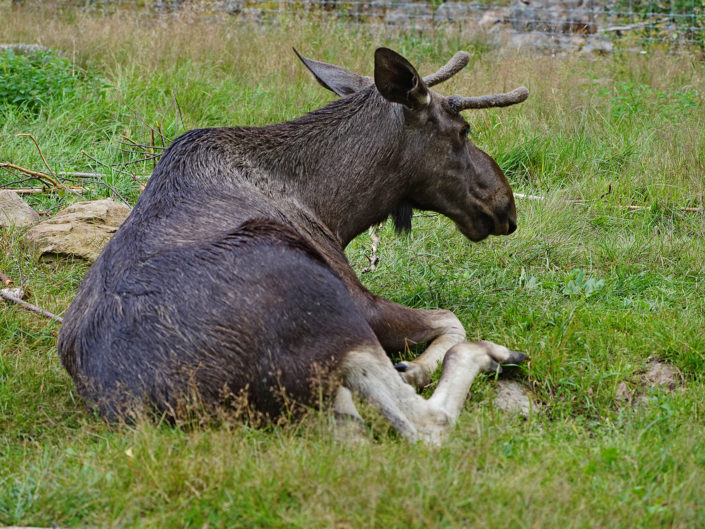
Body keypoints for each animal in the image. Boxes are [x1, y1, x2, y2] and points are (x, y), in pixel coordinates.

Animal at [58, 47, 529, 445]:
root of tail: (141, 410)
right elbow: (451, 320)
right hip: (326, 307)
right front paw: (415, 366)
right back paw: (493, 354)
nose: (506, 205)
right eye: (463, 130)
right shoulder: (358, 297)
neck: (334, 210)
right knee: (425, 420)